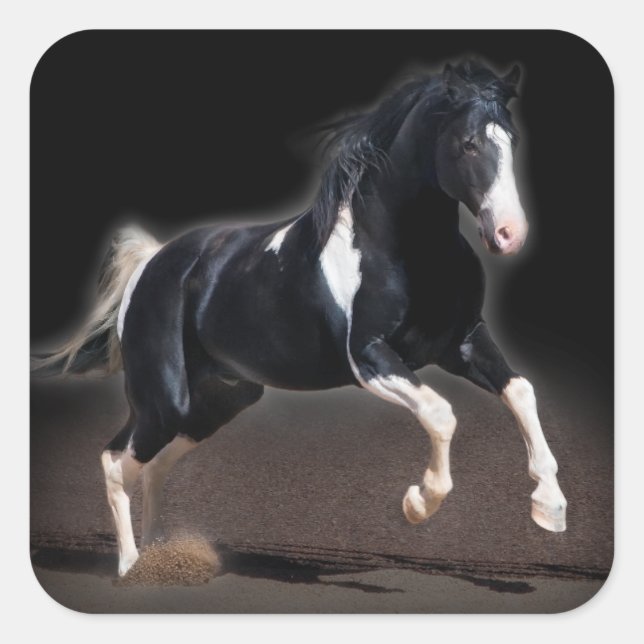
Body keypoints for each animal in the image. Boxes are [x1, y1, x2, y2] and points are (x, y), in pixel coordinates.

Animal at [33, 60, 567, 577]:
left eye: (512, 140)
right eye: (468, 142)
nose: (509, 234)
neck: (401, 249)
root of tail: (152, 262)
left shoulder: (462, 343)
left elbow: (521, 391)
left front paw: (550, 509)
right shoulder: (369, 358)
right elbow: (440, 413)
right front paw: (418, 503)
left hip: (217, 401)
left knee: (153, 467)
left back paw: (159, 557)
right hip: (163, 401)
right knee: (115, 462)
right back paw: (130, 568)